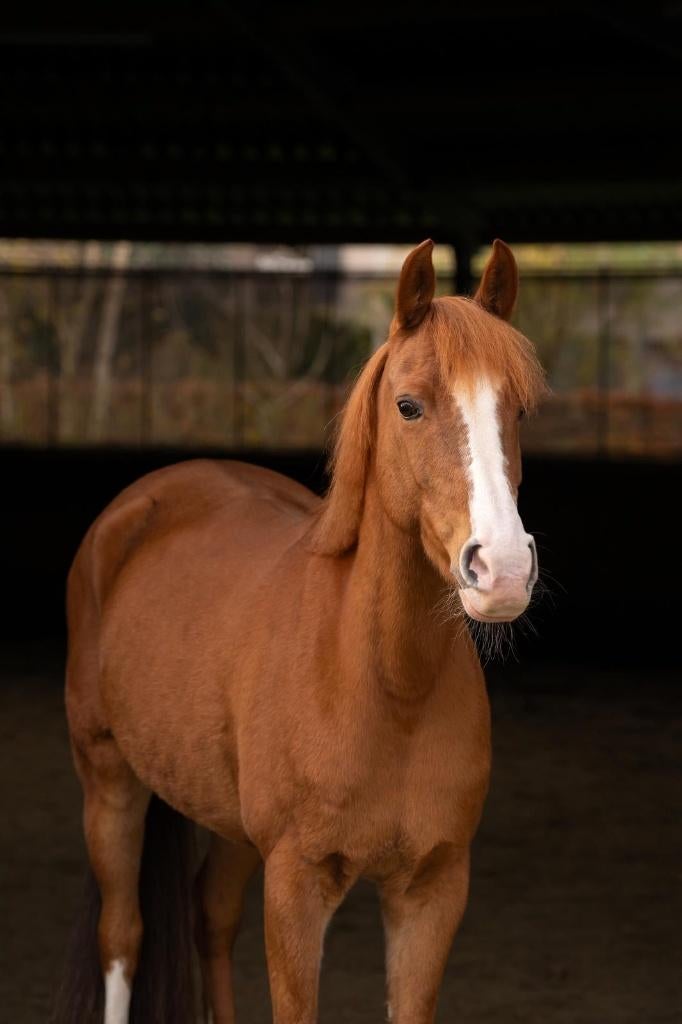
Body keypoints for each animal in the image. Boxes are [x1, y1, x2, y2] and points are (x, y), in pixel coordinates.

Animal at [55, 238, 546, 1024]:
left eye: (520, 410)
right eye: (409, 406)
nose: (500, 569)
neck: (386, 686)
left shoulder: (432, 891)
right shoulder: (296, 886)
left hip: (227, 822)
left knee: (210, 917)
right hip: (109, 783)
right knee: (122, 936)